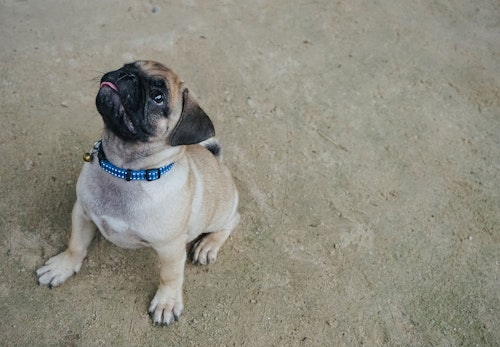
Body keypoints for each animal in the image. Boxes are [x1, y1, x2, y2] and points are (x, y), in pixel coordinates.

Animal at [35, 60, 240, 326]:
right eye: (127, 65)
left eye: (158, 97)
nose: (128, 75)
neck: (124, 170)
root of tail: (217, 160)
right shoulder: (82, 212)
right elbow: (76, 245)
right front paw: (62, 267)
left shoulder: (171, 247)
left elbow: (170, 276)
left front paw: (167, 302)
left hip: (219, 213)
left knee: (232, 221)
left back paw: (208, 245)